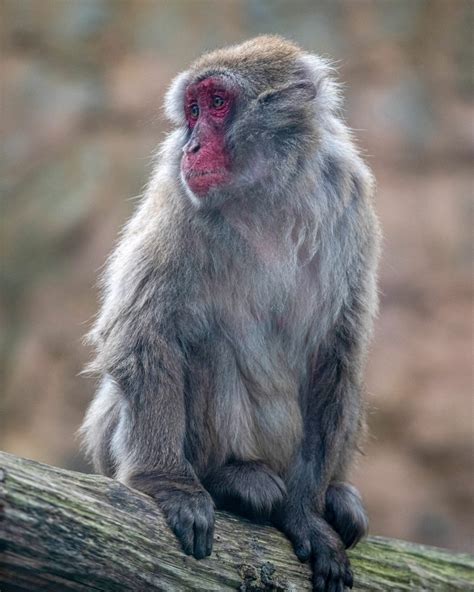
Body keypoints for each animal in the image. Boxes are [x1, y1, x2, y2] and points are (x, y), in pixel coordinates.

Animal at [79, 37, 380, 592]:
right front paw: (168, 484)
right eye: (193, 110)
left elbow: (336, 354)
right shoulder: (175, 191)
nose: (192, 146)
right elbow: (145, 332)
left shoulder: (348, 196)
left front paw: (307, 515)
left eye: (217, 104)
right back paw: (230, 480)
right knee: (203, 341)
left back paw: (333, 495)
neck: (269, 190)